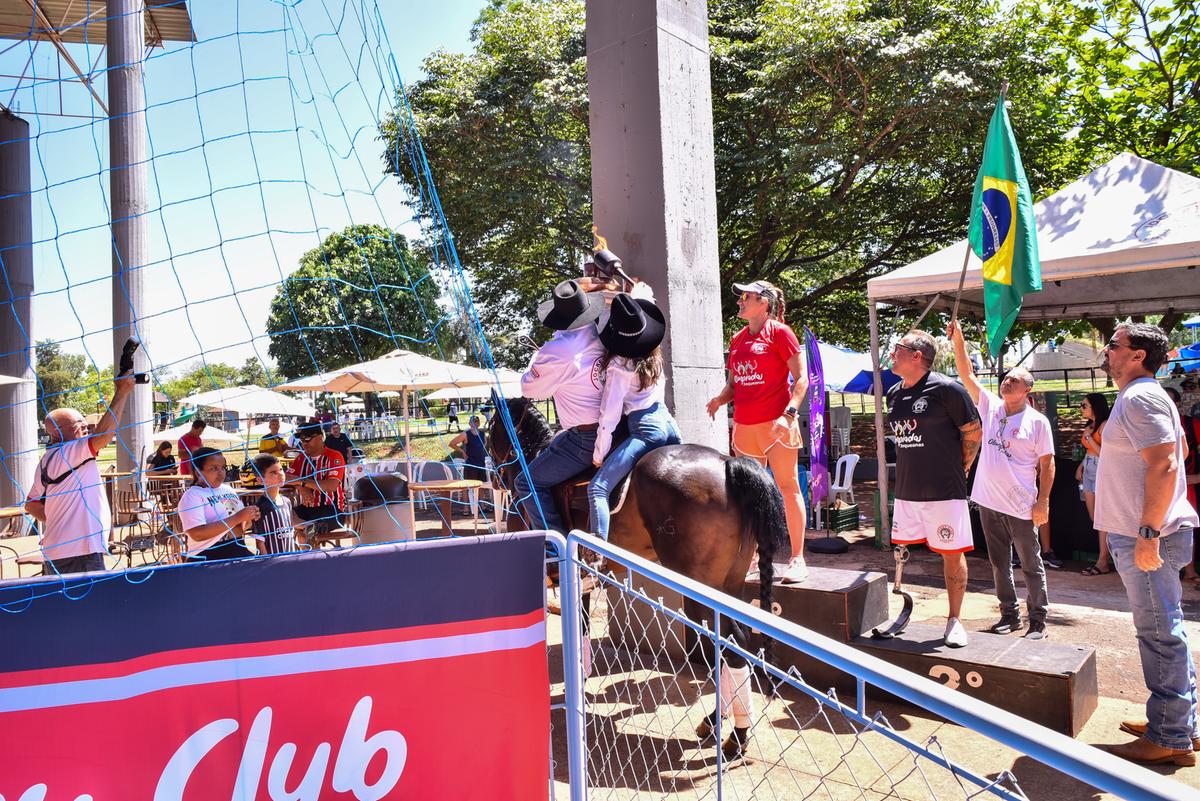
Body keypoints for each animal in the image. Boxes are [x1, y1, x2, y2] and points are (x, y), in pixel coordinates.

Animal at [487, 398, 787, 762]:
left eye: (489, 429)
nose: (493, 478)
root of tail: (728, 463)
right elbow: (581, 625)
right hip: (729, 585)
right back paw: (720, 724)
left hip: (701, 590)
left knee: (731, 648)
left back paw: (735, 734)